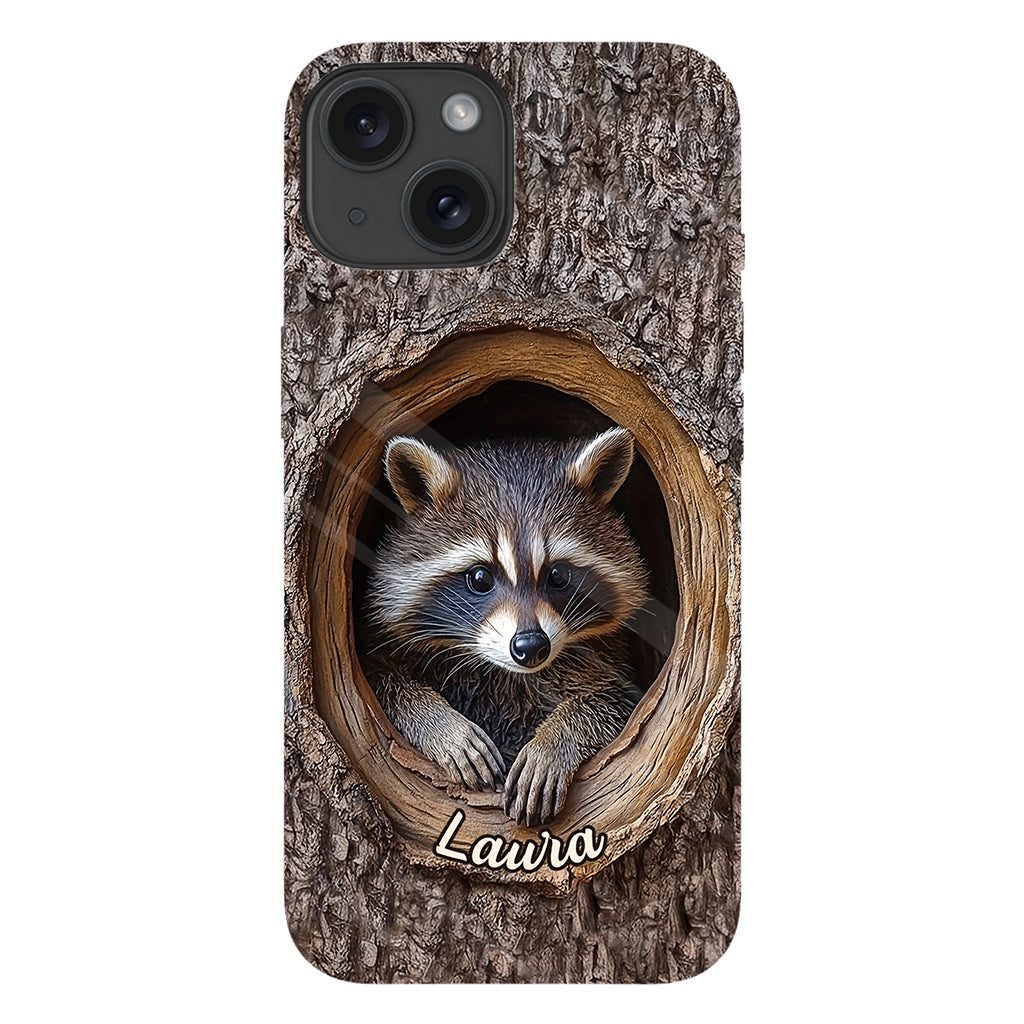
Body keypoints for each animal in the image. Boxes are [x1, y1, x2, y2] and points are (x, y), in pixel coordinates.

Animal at [363, 426, 648, 827]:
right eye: (480, 577)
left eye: (558, 575)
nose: (530, 646)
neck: (504, 673)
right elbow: (384, 680)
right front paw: (441, 724)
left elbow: (611, 701)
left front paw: (554, 741)